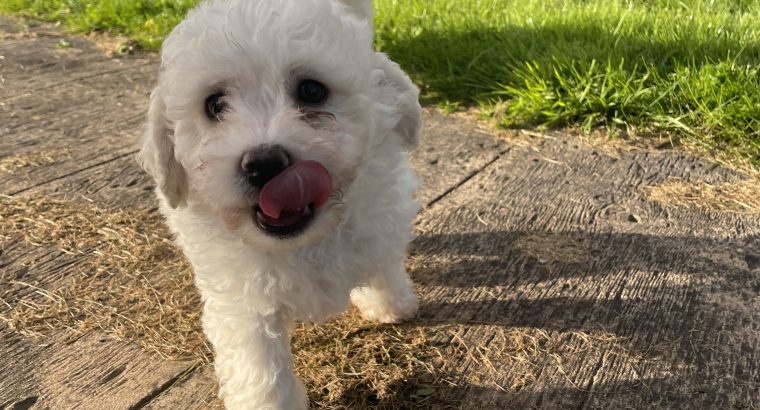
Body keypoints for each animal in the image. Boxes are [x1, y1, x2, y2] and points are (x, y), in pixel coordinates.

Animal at [137, 0, 422, 406]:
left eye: (312, 90)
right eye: (214, 105)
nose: (263, 163)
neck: (305, 241)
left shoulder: (379, 221)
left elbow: (382, 262)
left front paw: (391, 303)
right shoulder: (240, 300)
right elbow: (260, 365)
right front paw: (270, 402)